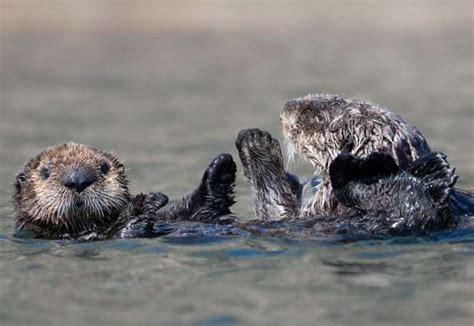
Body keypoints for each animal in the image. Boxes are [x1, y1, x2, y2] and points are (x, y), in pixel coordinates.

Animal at [13, 143, 236, 239]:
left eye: (103, 167)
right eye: (46, 172)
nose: (78, 179)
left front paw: (221, 169)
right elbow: (124, 229)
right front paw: (146, 202)